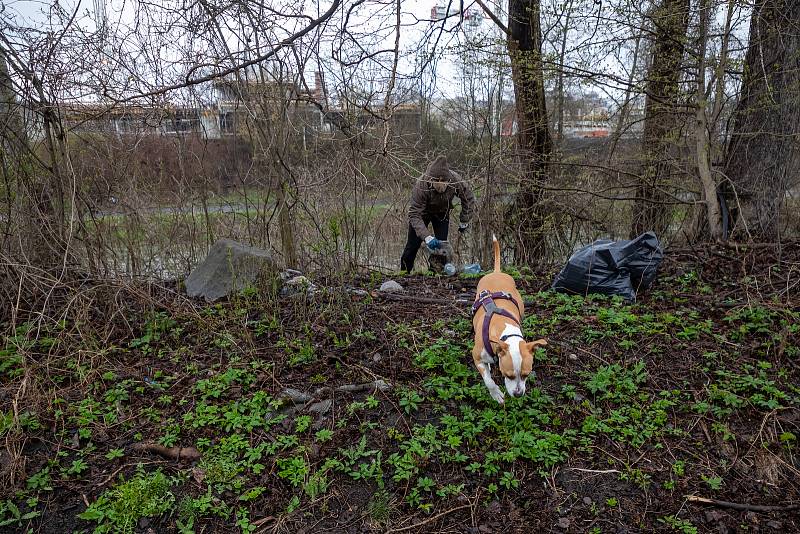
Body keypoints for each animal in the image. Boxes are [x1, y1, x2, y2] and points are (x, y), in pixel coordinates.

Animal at [472, 237, 548, 404]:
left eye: (527, 374)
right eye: (508, 375)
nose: (518, 394)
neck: (506, 333)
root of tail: (497, 272)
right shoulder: (477, 357)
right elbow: (488, 380)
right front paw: (496, 394)